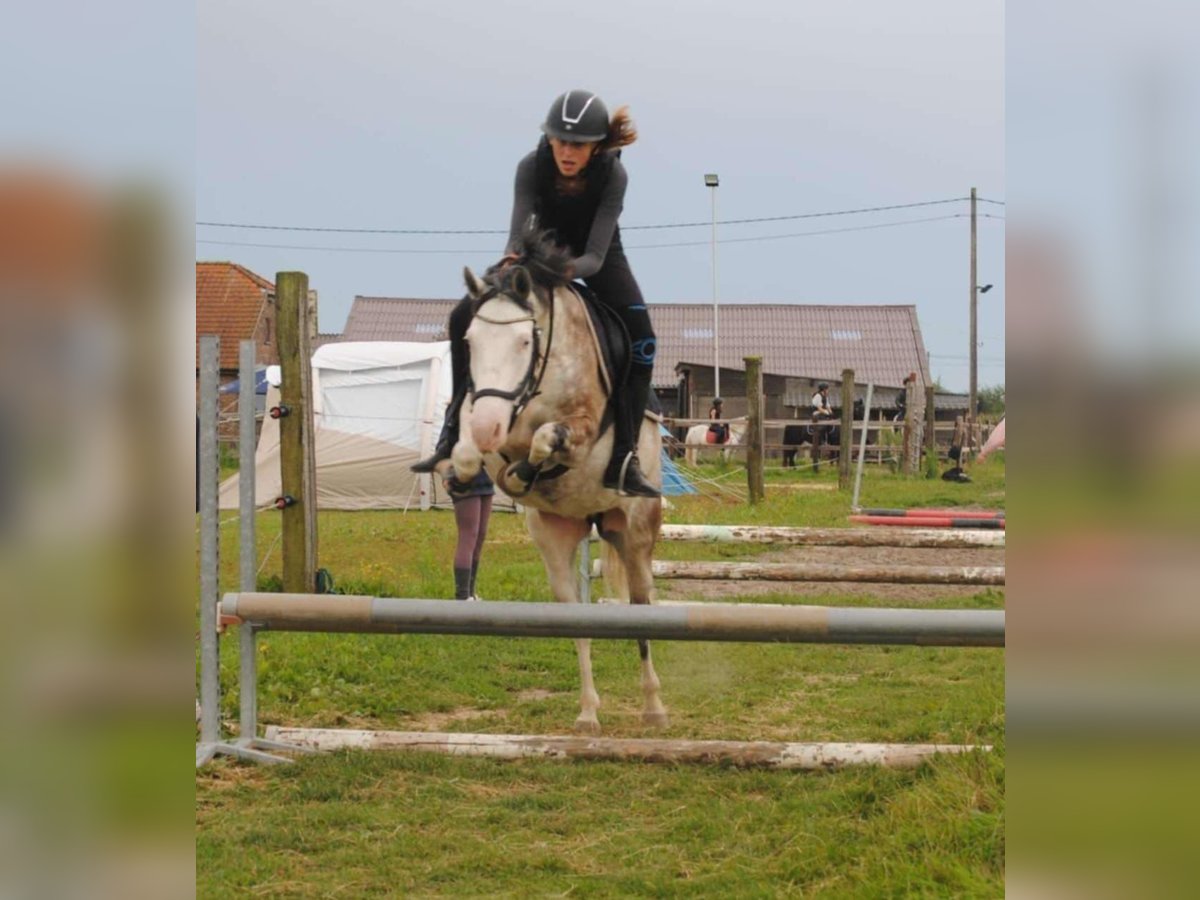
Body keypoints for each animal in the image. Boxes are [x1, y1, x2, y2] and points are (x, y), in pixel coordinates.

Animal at [446, 229, 667, 734]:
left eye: (524, 341)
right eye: (469, 341)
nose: (490, 426)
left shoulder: (578, 432)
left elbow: (547, 441)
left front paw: (523, 473)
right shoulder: (482, 414)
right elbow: (468, 449)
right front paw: (471, 471)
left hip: (637, 531)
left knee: (642, 607)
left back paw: (653, 706)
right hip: (556, 536)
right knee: (576, 618)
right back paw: (587, 713)